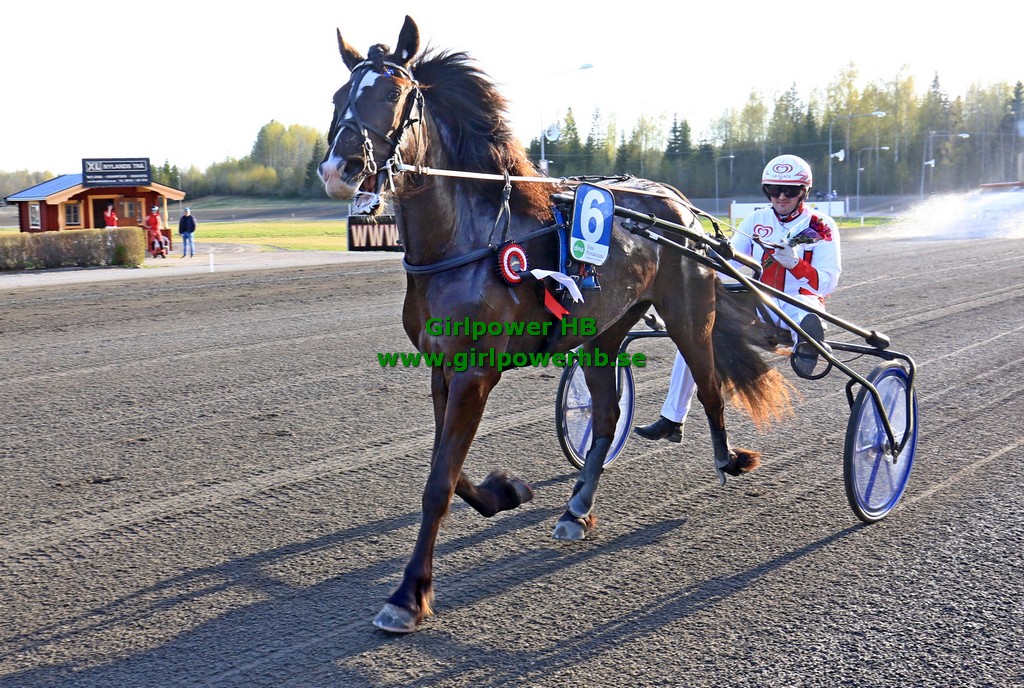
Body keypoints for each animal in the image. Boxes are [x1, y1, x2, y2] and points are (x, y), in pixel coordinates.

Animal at [318, 15, 792, 633]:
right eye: (338, 96)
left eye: (394, 92)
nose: (339, 169)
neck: (465, 240)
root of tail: (679, 206)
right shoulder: (442, 367)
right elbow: (450, 468)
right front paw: (507, 491)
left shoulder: (476, 372)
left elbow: (438, 482)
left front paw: (408, 594)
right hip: (603, 332)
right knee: (608, 414)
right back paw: (577, 509)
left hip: (690, 313)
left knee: (710, 385)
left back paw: (729, 459)